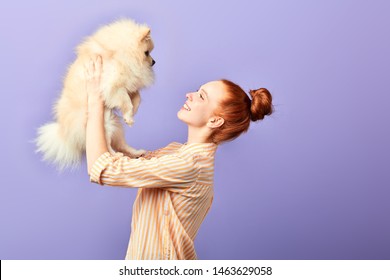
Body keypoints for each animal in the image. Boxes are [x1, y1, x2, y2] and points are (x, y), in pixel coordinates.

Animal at [35, 19, 155, 171]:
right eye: (146, 53)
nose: (154, 62)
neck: (120, 54)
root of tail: (64, 131)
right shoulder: (113, 87)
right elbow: (126, 101)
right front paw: (129, 115)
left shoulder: (126, 84)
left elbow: (137, 97)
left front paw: (132, 112)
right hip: (106, 124)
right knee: (108, 147)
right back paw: (116, 155)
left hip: (114, 124)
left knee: (121, 144)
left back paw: (137, 152)